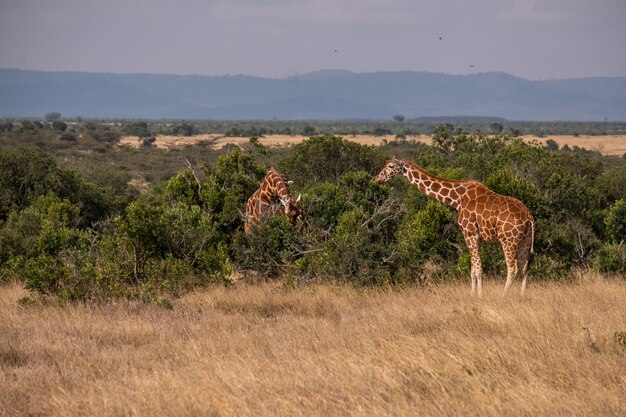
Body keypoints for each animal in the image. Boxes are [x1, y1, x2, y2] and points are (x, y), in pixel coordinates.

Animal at [372, 156, 532, 296]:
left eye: (390, 166)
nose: (377, 179)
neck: (457, 199)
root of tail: (528, 216)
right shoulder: (475, 237)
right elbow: (473, 269)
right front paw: (472, 295)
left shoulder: (470, 233)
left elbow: (478, 269)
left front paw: (480, 296)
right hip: (525, 240)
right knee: (525, 267)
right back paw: (522, 296)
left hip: (508, 240)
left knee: (513, 268)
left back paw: (503, 296)